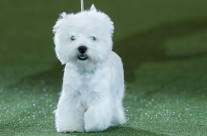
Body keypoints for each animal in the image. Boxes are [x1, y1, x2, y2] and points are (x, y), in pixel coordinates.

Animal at [52, 4, 125, 132]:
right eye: (73, 37)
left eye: (93, 38)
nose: (82, 48)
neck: (85, 71)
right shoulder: (72, 95)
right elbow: (70, 112)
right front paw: (70, 127)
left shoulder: (99, 96)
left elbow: (97, 113)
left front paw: (93, 126)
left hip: (117, 91)